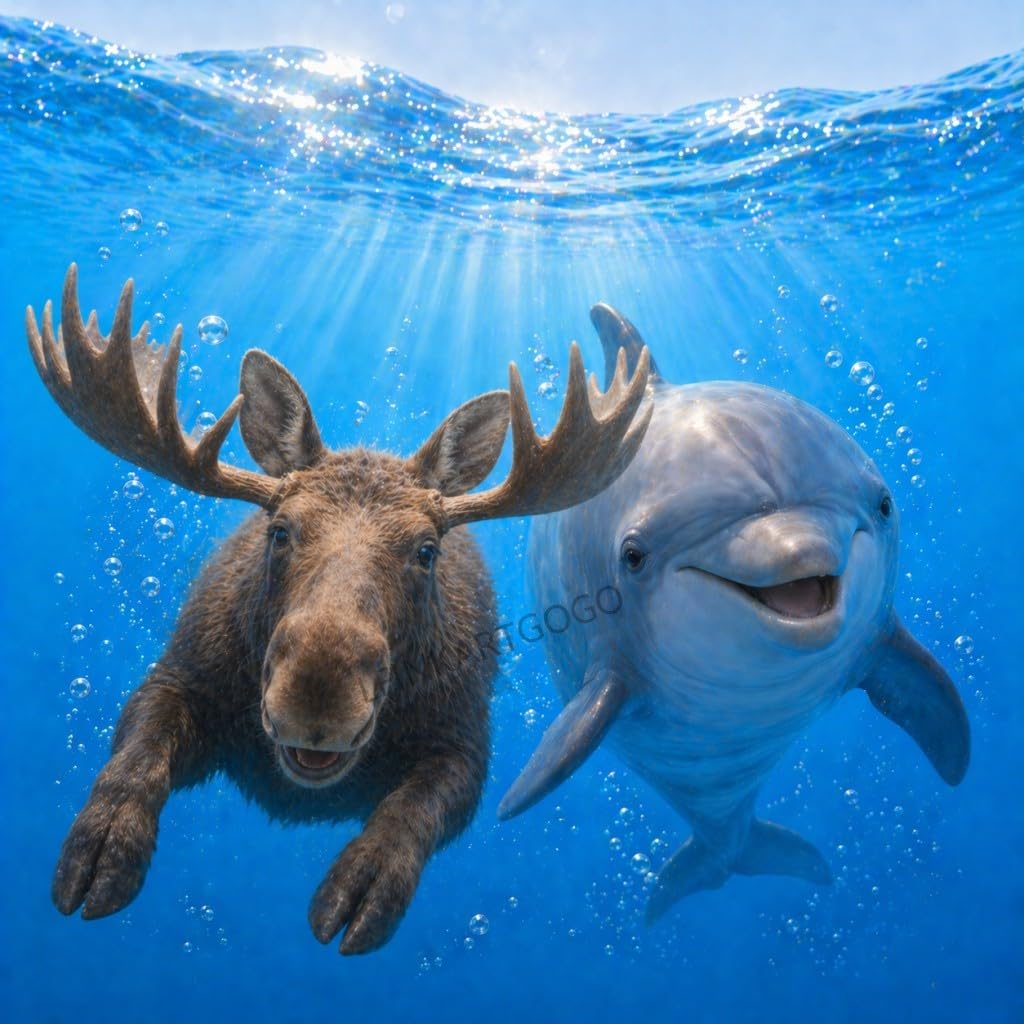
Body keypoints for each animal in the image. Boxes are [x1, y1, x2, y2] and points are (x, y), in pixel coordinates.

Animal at [26, 265, 652, 955]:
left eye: (427, 550)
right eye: (279, 531)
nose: (317, 697)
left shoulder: (464, 749)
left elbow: (408, 816)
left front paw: (363, 885)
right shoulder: (175, 678)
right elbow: (134, 761)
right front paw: (102, 847)